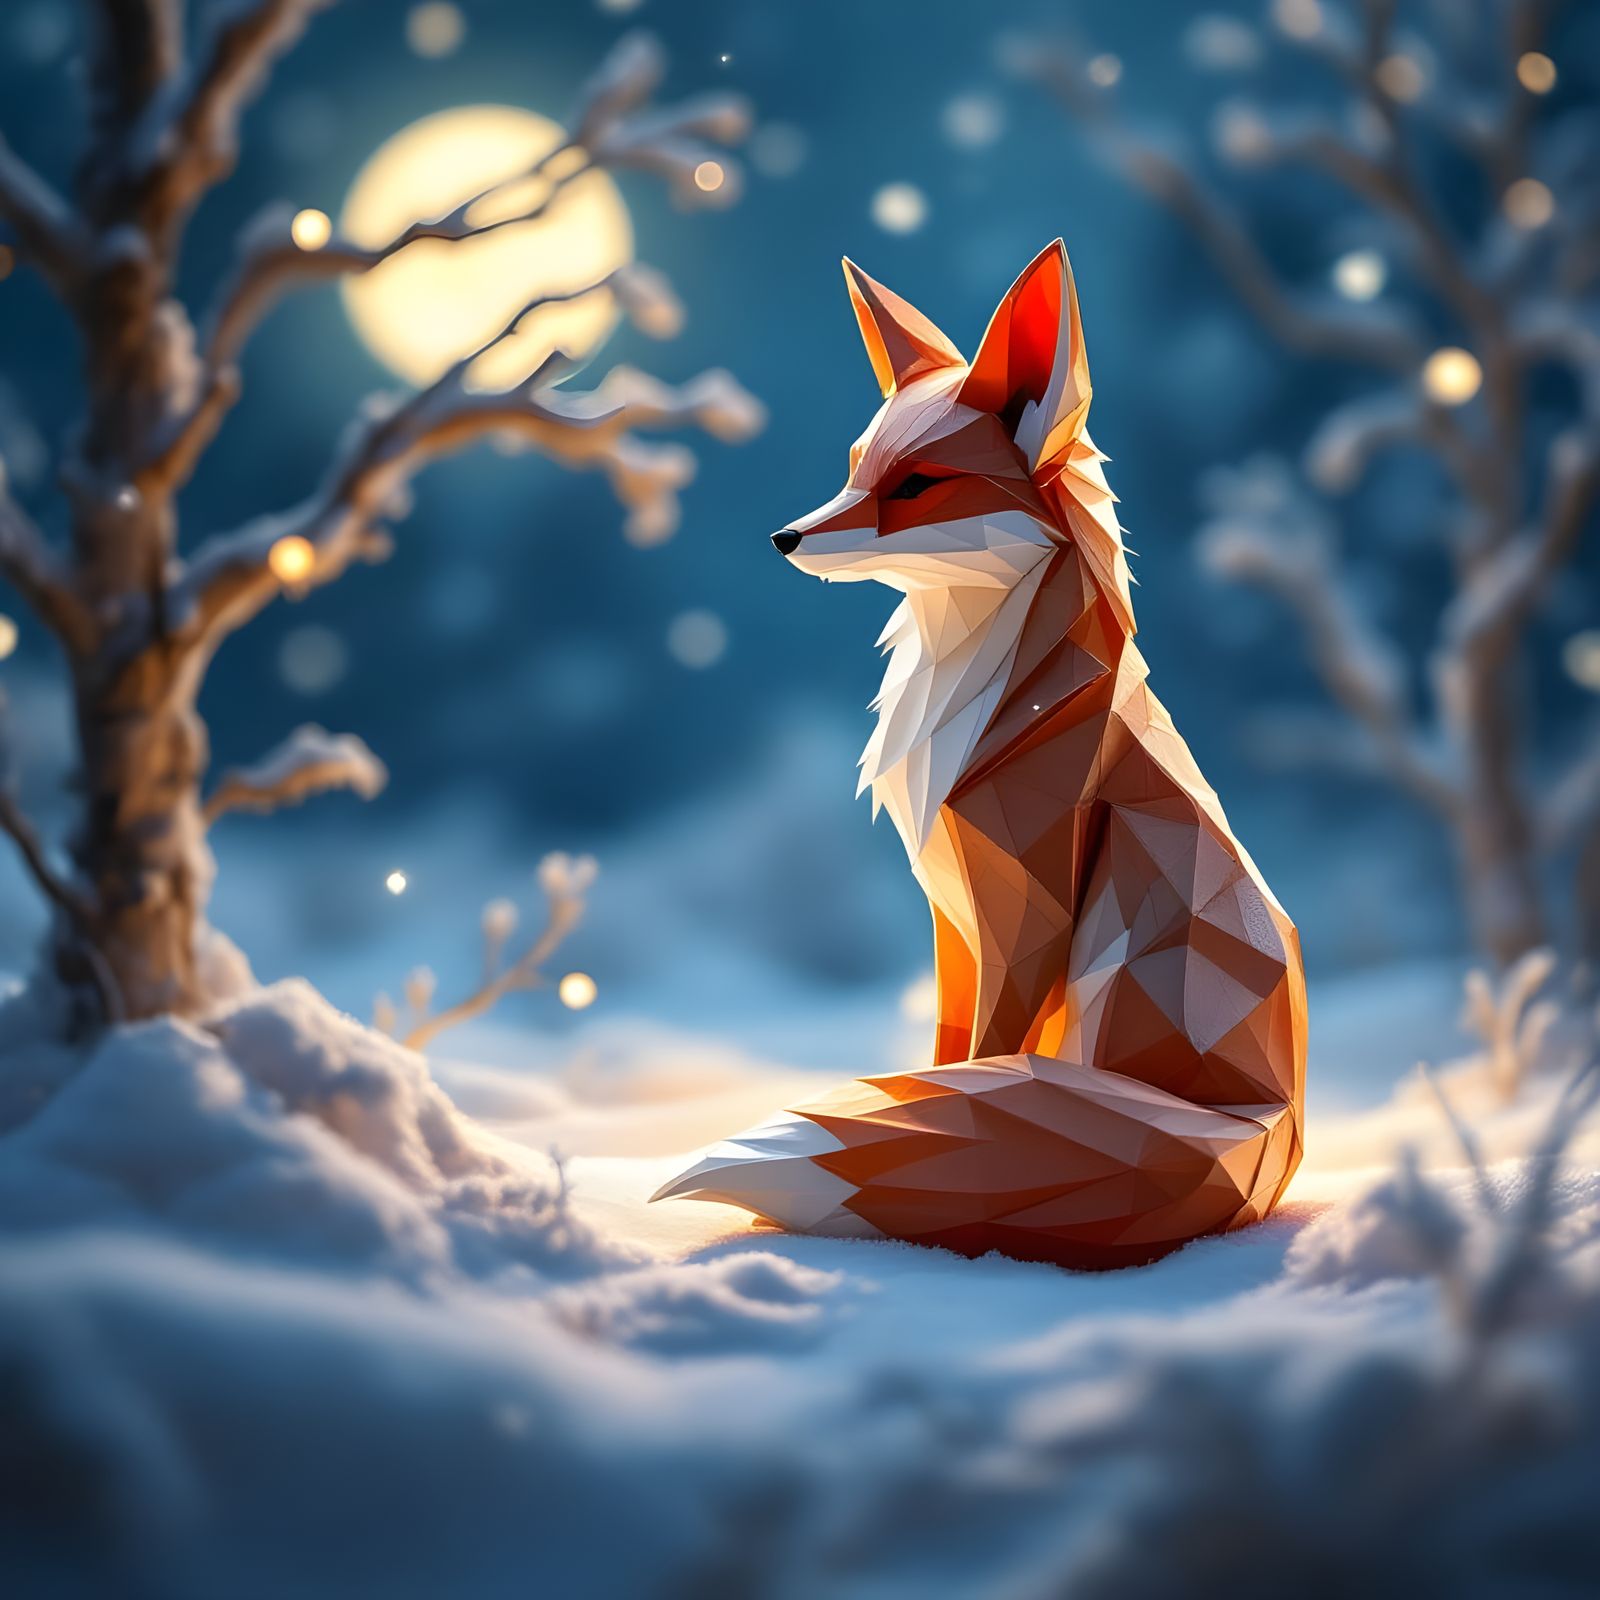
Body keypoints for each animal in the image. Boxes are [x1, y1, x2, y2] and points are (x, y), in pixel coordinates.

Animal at [653, 240, 1307, 1269]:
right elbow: (944, 1059)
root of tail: (1266, 1124)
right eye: (855, 466)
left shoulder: (1024, 911)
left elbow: (980, 1063)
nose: (785, 536)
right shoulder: (953, 915)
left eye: (918, 485)